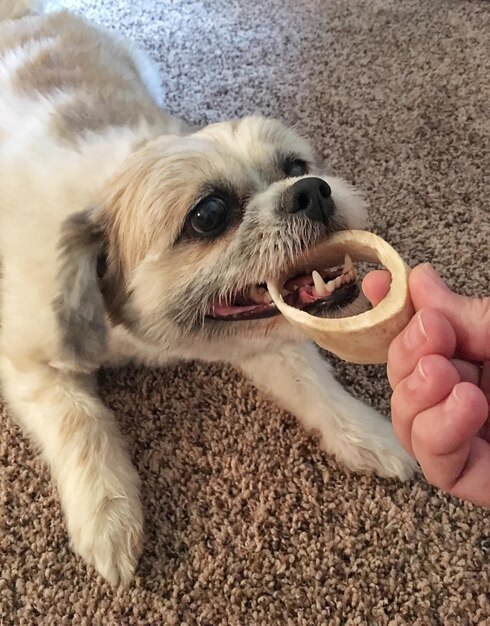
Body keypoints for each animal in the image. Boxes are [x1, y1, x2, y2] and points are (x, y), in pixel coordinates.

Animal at [0, 1, 416, 584]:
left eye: (295, 166)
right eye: (210, 214)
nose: (311, 191)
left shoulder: (262, 337)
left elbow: (313, 384)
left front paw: (368, 435)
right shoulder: (29, 360)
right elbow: (81, 422)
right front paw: (108, 517)